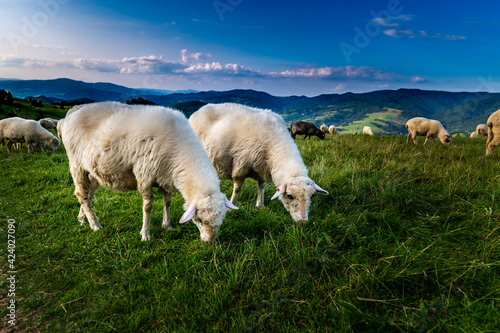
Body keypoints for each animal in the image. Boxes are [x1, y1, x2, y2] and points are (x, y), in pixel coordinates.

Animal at [59, 100, 237, 241]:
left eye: (222, 219)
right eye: (199, 220)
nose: (209, 242)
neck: (180, 149)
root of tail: (70, 115)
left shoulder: (166, 176)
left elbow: (167, 201)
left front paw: (167, 225)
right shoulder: (144, 174)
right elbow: (148, 207)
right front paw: (145, 234)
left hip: (93, 170)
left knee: (88, 193)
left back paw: (83, 218)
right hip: (76, 164)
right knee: (81, 194)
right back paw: (95, 224)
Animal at [188, 102, 328, 222]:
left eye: (312, 196)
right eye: (289, 196)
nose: (302, 221)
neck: (275, 144)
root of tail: (198, 111)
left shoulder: (262, 167)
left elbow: (261, 186)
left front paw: (260, 205)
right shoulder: (241, 165)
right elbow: (237, 189)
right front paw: (231, 206)